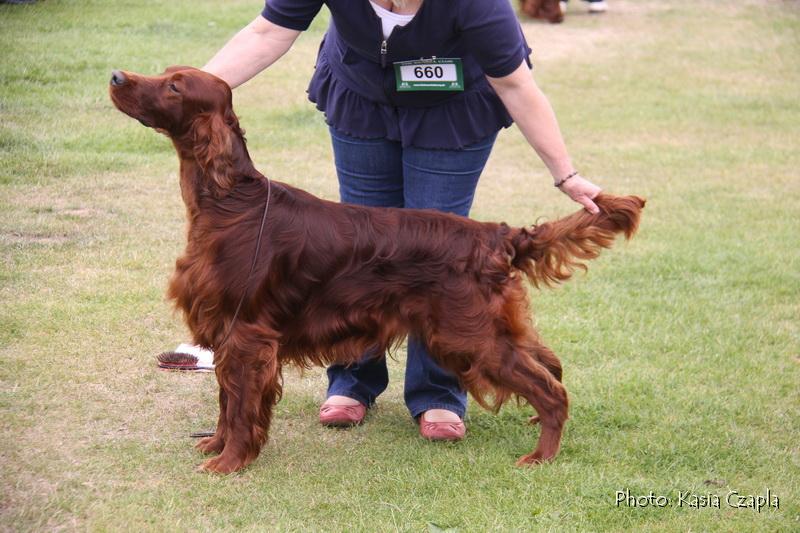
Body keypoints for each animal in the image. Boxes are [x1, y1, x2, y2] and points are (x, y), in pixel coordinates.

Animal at [108, 67, 644, 474]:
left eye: (175, 86)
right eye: (165, 75)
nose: (116, 76)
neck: (229, 202)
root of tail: (496, 235)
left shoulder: (246, 335)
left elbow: (239, 406)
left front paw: (229, 462)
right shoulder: (226, 332)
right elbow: (226, 401)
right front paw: (216, 445)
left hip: (471, 336)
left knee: (551, 390)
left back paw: (541, 456)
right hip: (486, 329)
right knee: (549, 362)